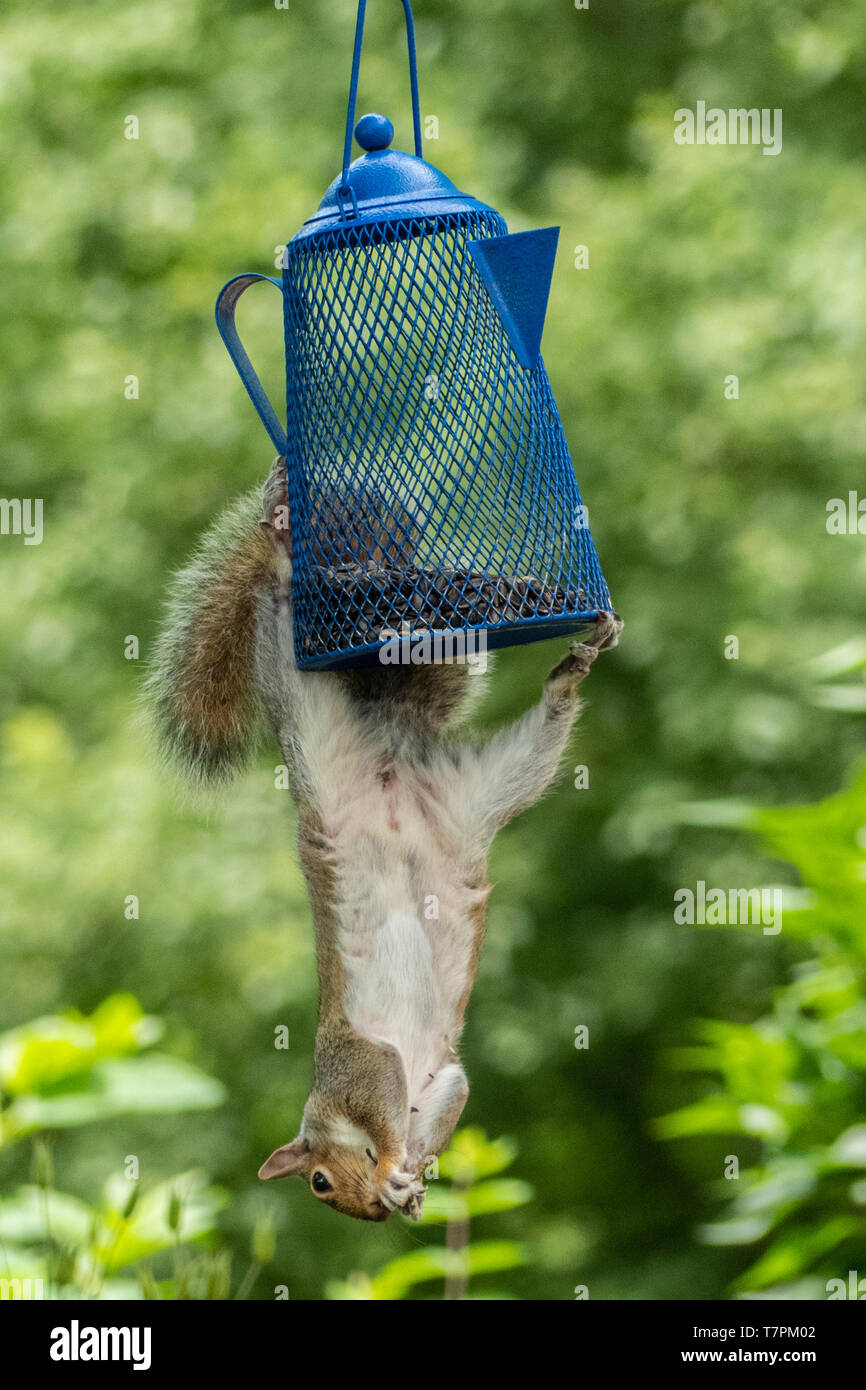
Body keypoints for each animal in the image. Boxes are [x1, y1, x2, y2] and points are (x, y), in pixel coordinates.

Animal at [148, 461, 622, 1223]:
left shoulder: (361, 1066)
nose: (370, 1211)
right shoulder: (438, 1083)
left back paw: (284, 547)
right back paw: (567, 676)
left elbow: (389, 1118)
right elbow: (440, 1111)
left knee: (280, 629)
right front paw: (412, 1185)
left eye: (317, 1182)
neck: (329, 1117)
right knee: (543, 735)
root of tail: (391, 744)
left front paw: (399, 1170)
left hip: (309, 727)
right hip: (483, 788)